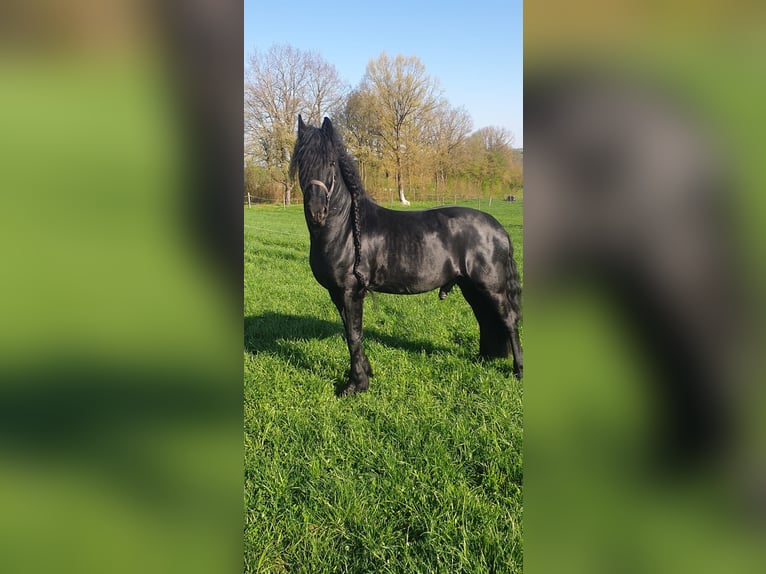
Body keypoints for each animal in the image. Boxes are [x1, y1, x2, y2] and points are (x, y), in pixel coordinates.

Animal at [289, 116, 523, 395]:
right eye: (301, 162)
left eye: (331, 163)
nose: (317, 211)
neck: (346, 228)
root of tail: (498, 228)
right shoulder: (336, 293)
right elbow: (351, 332)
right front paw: (366, 373)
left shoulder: (349, 291)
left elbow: (354, 334)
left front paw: (356, 384)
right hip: (471, 287)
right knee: (485, 318)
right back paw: (483, 358)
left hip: (492, 286)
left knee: (508, 319)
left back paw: (519, 371)